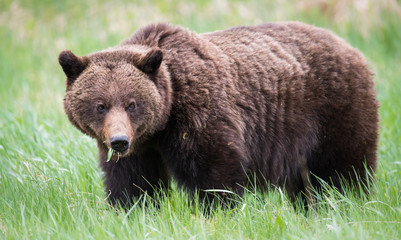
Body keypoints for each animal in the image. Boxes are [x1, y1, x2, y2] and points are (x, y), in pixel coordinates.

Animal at [57, 21, 376, 207]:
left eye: (131, 103)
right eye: (100, 105)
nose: (120, 141)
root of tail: (349, 47)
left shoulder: (199, 114)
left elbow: (215, 171)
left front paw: (216, 210)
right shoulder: (141, 147)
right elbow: (133, 182)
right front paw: (133, 209)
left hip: (332, 109)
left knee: (345, 168)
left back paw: (353, 202)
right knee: (305, 182)